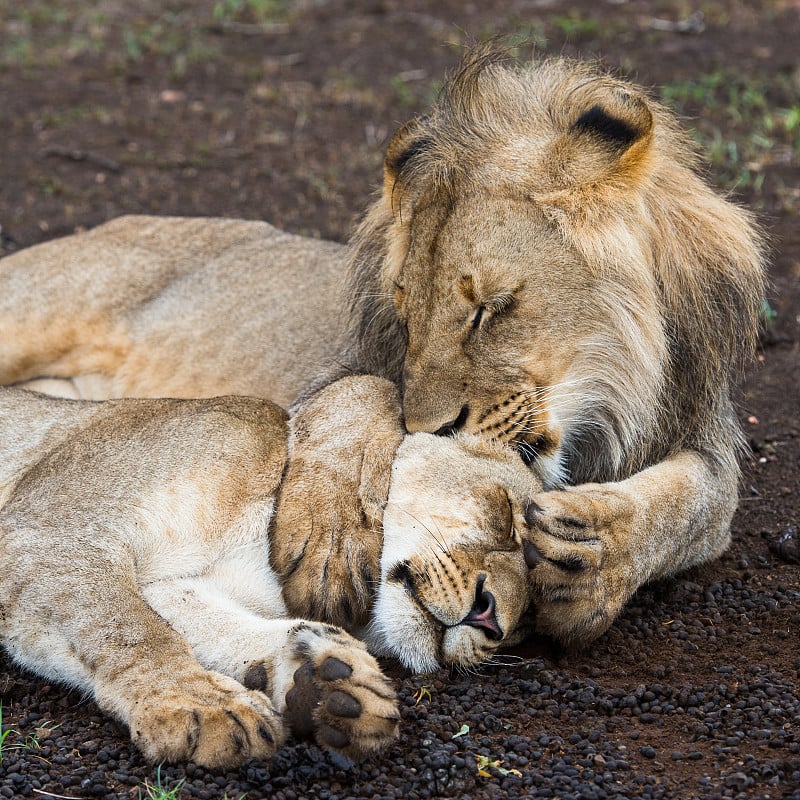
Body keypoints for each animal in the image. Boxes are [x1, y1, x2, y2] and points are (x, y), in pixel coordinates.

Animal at [0, 47, 764, 644]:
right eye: (406, 308)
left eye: (487, 309)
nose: (432, 428)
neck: (609, 398)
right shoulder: (338, 372)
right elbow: (364, 392)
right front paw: (330, 537)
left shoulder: (700, 425)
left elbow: (702, 505)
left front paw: (597, 558)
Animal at [1, 378, 544, 764]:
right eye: (504, 516)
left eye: (524, 627)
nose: (491, 619)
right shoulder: (48, 530)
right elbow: (130, 629)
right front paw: (199, 707)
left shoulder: (171, 587)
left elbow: (204, 628)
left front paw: (324, 681)